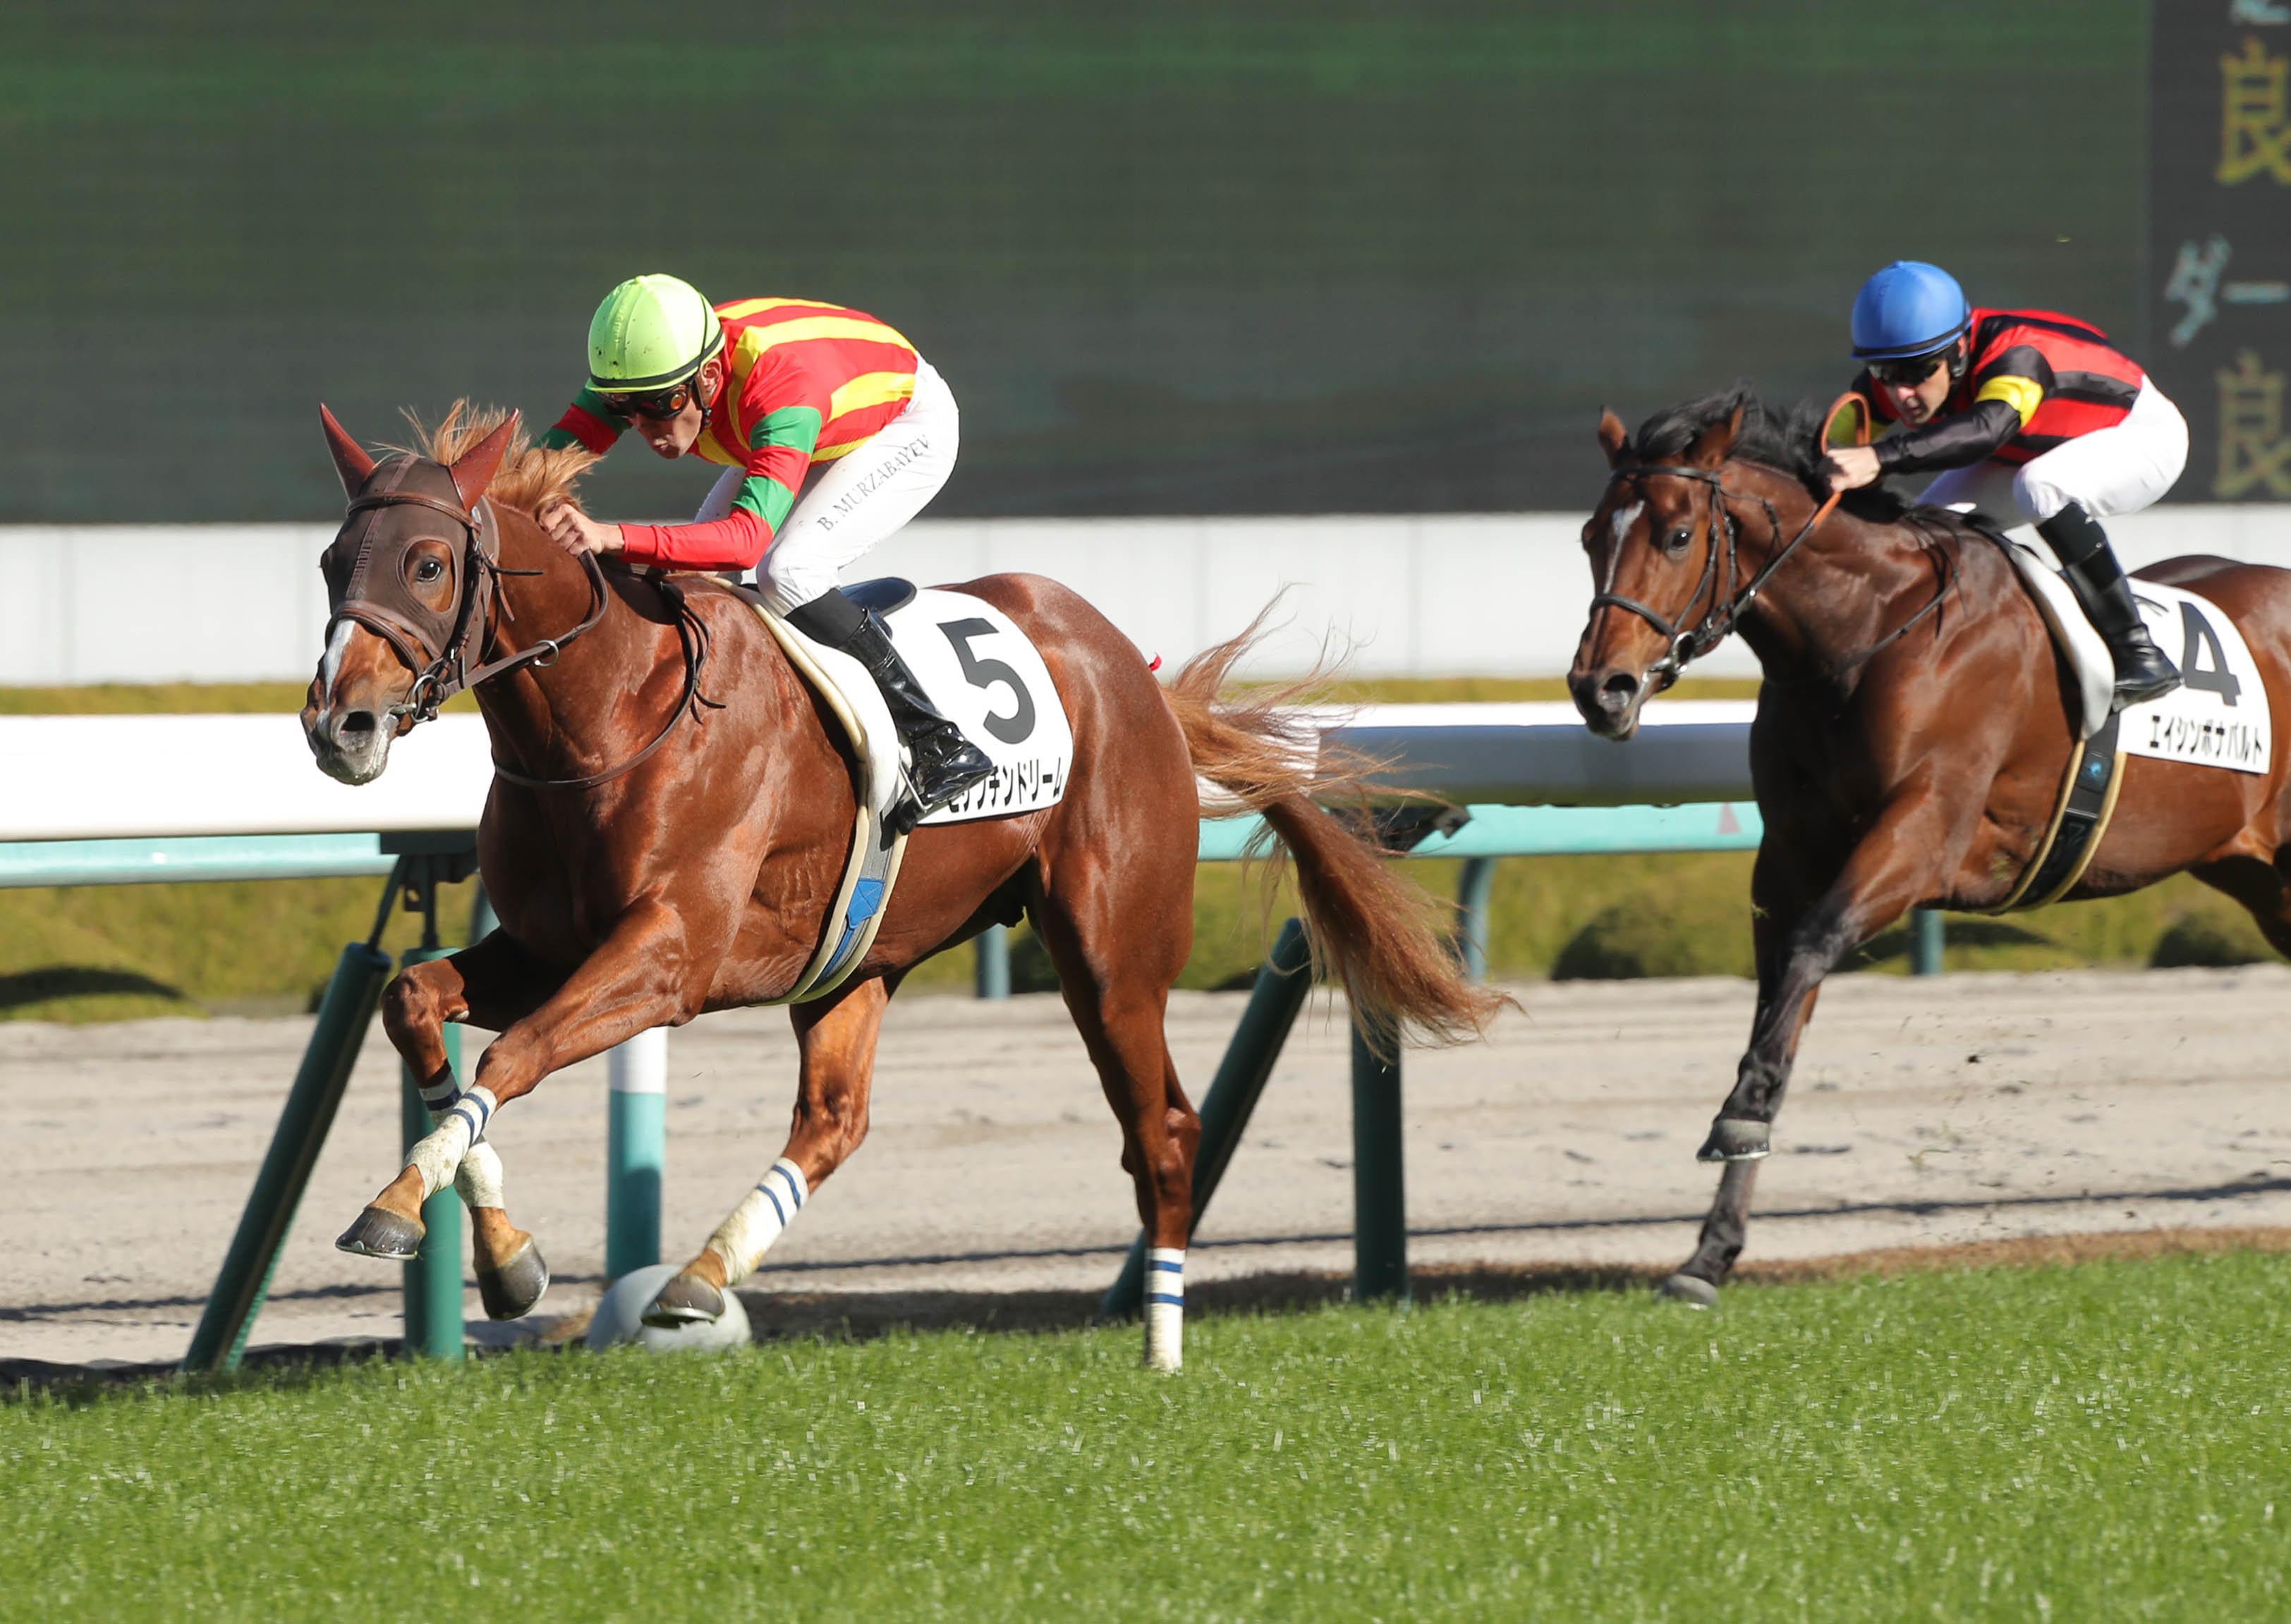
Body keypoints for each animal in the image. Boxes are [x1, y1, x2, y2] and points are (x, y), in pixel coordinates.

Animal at [302, 402, 1501, 1368]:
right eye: (330, 561)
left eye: (427, 563)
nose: (338, 723)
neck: (617, 707)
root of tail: (1139, 677)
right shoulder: (546, 946)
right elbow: (415, 1002)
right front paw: (502, 1255)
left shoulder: (670, 954)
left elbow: (514, 1052)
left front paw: (397, 1204)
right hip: (858, 957)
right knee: (835, 1119)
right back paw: (700, 1275)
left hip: (1111, 951)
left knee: (1162, 1126)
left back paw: (1160, 1346)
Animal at [1567, 387, 2291, 1305]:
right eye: (1591, 535)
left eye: (1677, 534)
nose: (1599, 689)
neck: (1866, 629)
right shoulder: (1790, 859)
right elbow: (1778, 1011)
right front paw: (1709, 1249)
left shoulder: (1920, 834)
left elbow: (1810, 951)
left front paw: (1734, 1123)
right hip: (2262, 879)